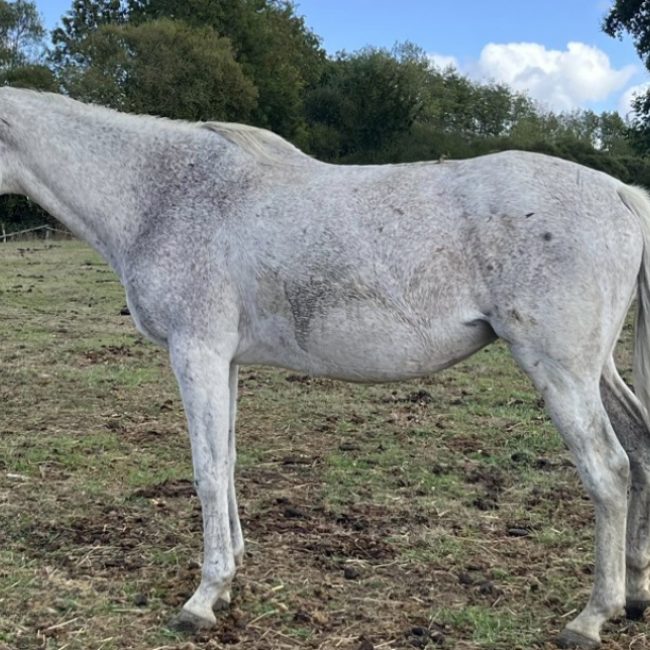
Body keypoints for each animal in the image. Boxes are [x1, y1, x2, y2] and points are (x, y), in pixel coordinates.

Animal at [2, 87, 650, 649]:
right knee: (640, 450)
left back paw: (592, 616)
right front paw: (233, 573)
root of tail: (622, 194)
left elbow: (207, 471)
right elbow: (228, 461)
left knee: (609, 470)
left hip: (562, 372)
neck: (165, 194)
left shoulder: (196, 353)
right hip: (596, 370)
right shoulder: (223, 361)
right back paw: (636, 591)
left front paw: (203, 599)